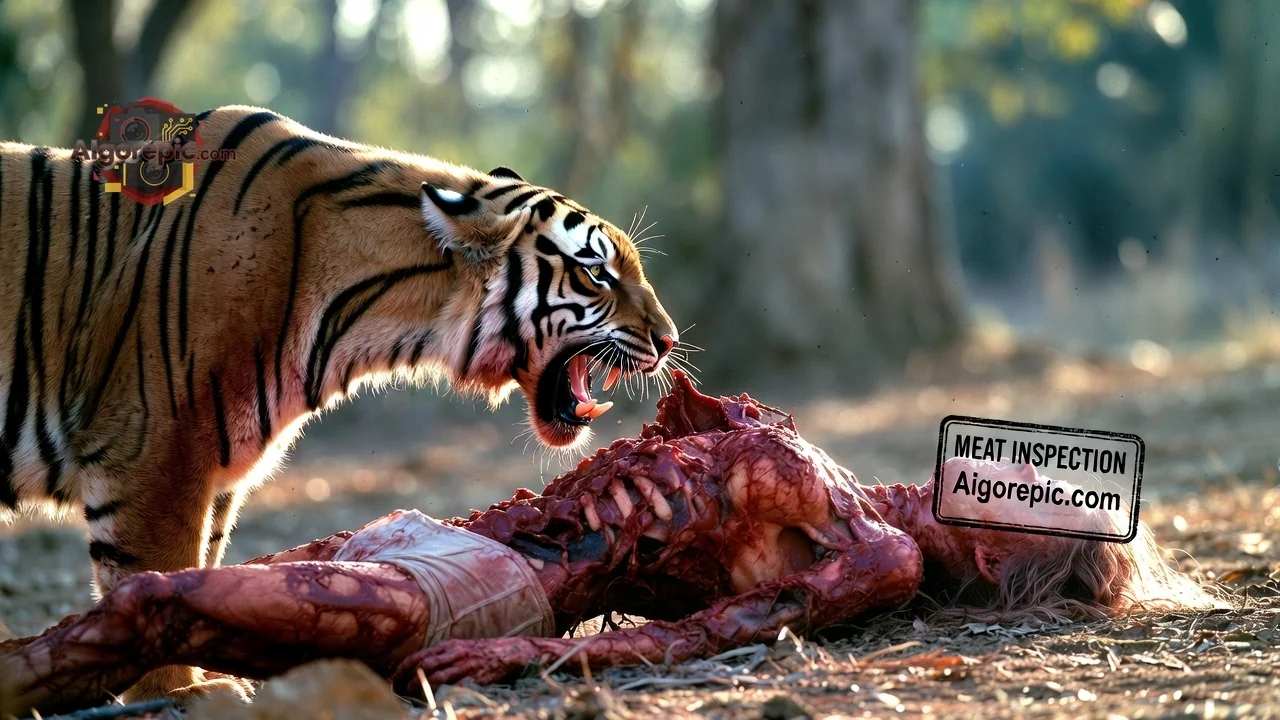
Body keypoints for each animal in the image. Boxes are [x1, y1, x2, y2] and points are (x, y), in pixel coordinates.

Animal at [0, 105, 678, 700]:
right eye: (597, 274)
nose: (671, 339)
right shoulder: (152, 455)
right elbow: (151, 572)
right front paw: (180, 692)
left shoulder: (213, 474)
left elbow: (199, 567)